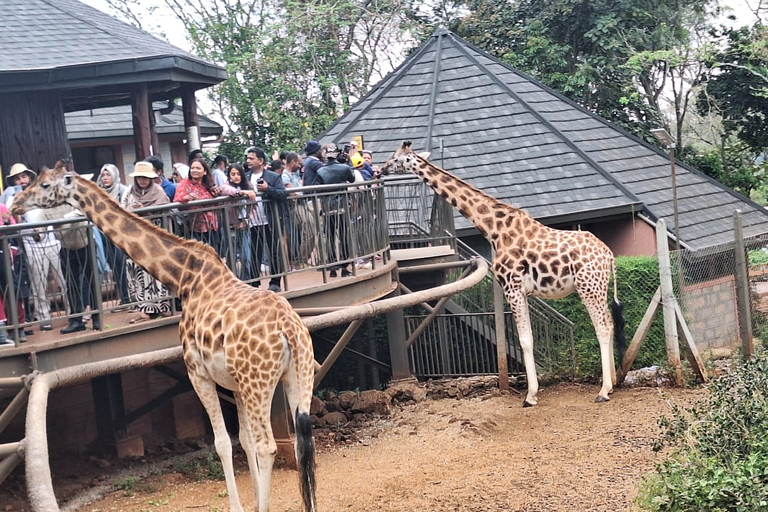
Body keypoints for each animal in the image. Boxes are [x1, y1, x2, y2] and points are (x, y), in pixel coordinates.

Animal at [9, 161, 316, 512]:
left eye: (45, 185)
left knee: (269, 446)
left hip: (260, 381)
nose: (15, 205)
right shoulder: (233, 383)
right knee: (303, 440)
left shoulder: (197, 372)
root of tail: (289, 329)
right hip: (296, 374)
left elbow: (224, 443)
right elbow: (244, 440)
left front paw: (240, 506)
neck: (184, 278)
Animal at [380, 142, 628, 406]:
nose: (380, 169)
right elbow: (528, 339)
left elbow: (525, 340)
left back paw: (603, 391)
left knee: (602, 327)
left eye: (395, 158)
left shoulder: (512, 287)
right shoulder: (523, 292)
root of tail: (608, 254)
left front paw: (530, 396)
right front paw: (532, 392)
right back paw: (612, 384)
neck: (495, 230)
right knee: (610, 323)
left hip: (587, 286)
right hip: (599, 287)